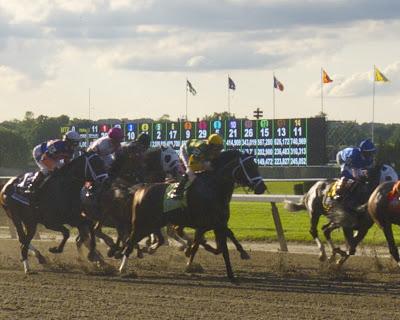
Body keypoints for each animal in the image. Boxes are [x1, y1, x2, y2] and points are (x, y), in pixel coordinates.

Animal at [117, 151, 266, 280]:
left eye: (255, 166)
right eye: (248, 167)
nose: (262, 187)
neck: (213, 189)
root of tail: (141, 189)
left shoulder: (218, 224)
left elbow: (222, 247)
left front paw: (232, 272)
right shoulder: (207, 224)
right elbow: (211, 246)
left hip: (154, 223)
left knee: (148, 239)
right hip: (141, 224)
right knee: (130, 242)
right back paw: (122, 268)